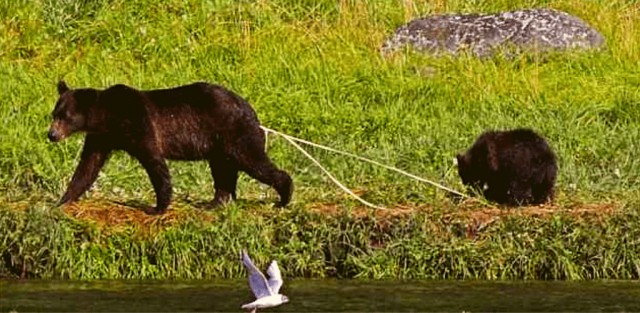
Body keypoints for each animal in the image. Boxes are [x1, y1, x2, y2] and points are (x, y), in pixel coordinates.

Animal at [48, 79, 294, 213]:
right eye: (54, 114)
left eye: (64, 116)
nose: (51, 134)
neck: (106, 117)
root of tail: (250, 108)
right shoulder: (101, 137)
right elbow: (88, 166)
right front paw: (62, 200)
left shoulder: (137, 121)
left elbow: (153, 160)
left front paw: (158, 206)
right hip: (219, 143)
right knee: (222, 169)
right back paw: (215, 202)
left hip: (234, 132)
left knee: (253, 161)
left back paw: (284, 196)